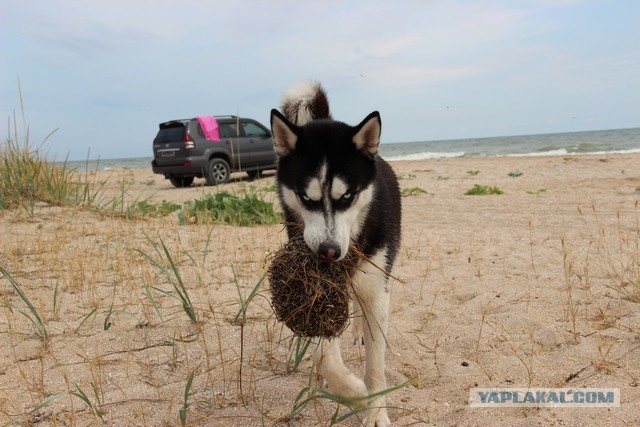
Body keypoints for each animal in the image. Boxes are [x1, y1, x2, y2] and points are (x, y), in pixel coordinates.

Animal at [272, 82, 402, 426]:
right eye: (306, 198)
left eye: (348, 196)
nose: (328, 252)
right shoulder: (321, 295)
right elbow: (324, 356)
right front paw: (354, 394)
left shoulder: (376, 289)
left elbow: (375, 367)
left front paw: (375, 412)